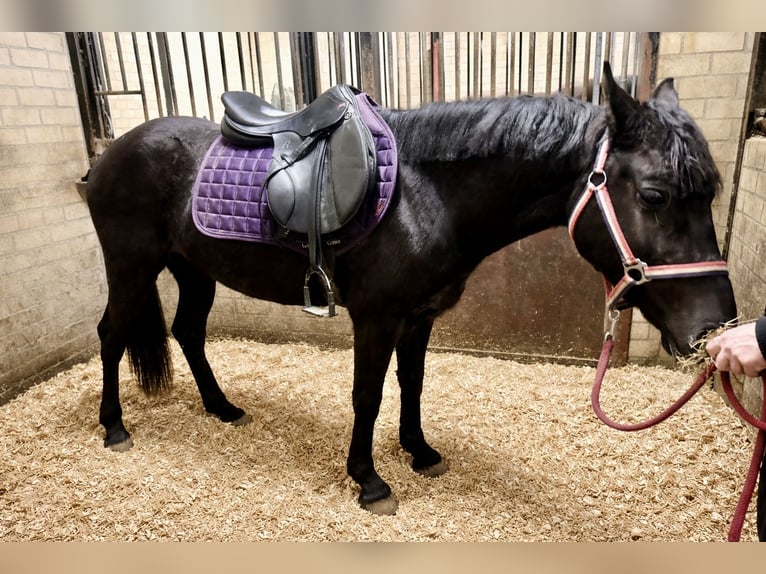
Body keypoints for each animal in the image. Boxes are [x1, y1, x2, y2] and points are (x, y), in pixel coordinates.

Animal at [85, 63, 736, 516]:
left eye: (710, 194)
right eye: (654, 196)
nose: (714, 328)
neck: (425, 195)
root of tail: (110, 153)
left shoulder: (420, 317)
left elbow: (412, 386)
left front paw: (419, 452)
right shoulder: (375, 318)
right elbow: (367, 396)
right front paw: (368, 479)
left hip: (193, 269)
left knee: (189, 333)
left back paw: (222, 408)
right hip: (130, 267)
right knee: (111, 334)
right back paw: (114, 427)